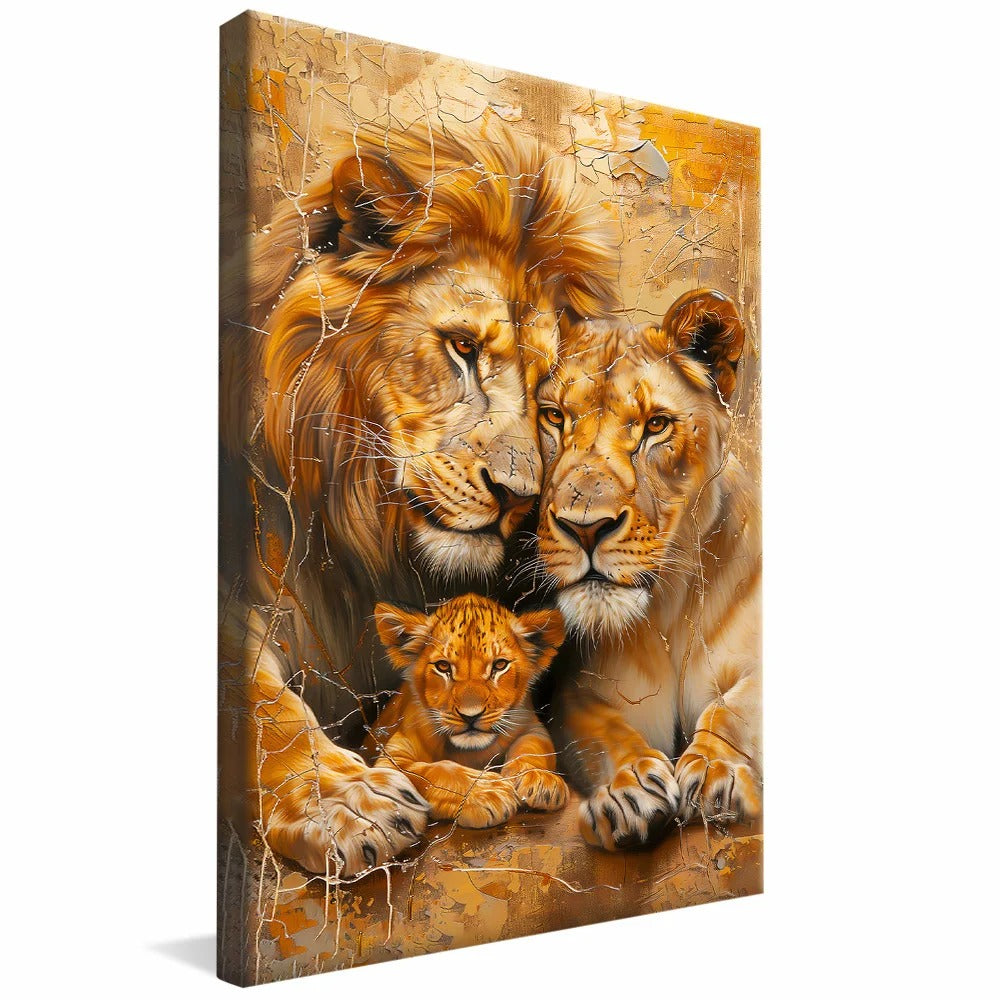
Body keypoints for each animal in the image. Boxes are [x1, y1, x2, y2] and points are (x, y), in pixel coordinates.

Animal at [366, 594, 568, 828]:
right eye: (443, 667)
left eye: (500, 665)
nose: (471, 716)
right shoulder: (389, 760)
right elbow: (434, 771)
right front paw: (486, 792)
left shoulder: (531, 726)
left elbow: (532, 747)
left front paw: (540, 780)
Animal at [531, 289, 761, 851]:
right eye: (553, 417)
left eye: (656, 425)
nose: (586, 528)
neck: (672, 610)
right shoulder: (585, 690)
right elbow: (601, 731)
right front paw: (628, 788)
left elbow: (737, 709)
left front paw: (717, 772)